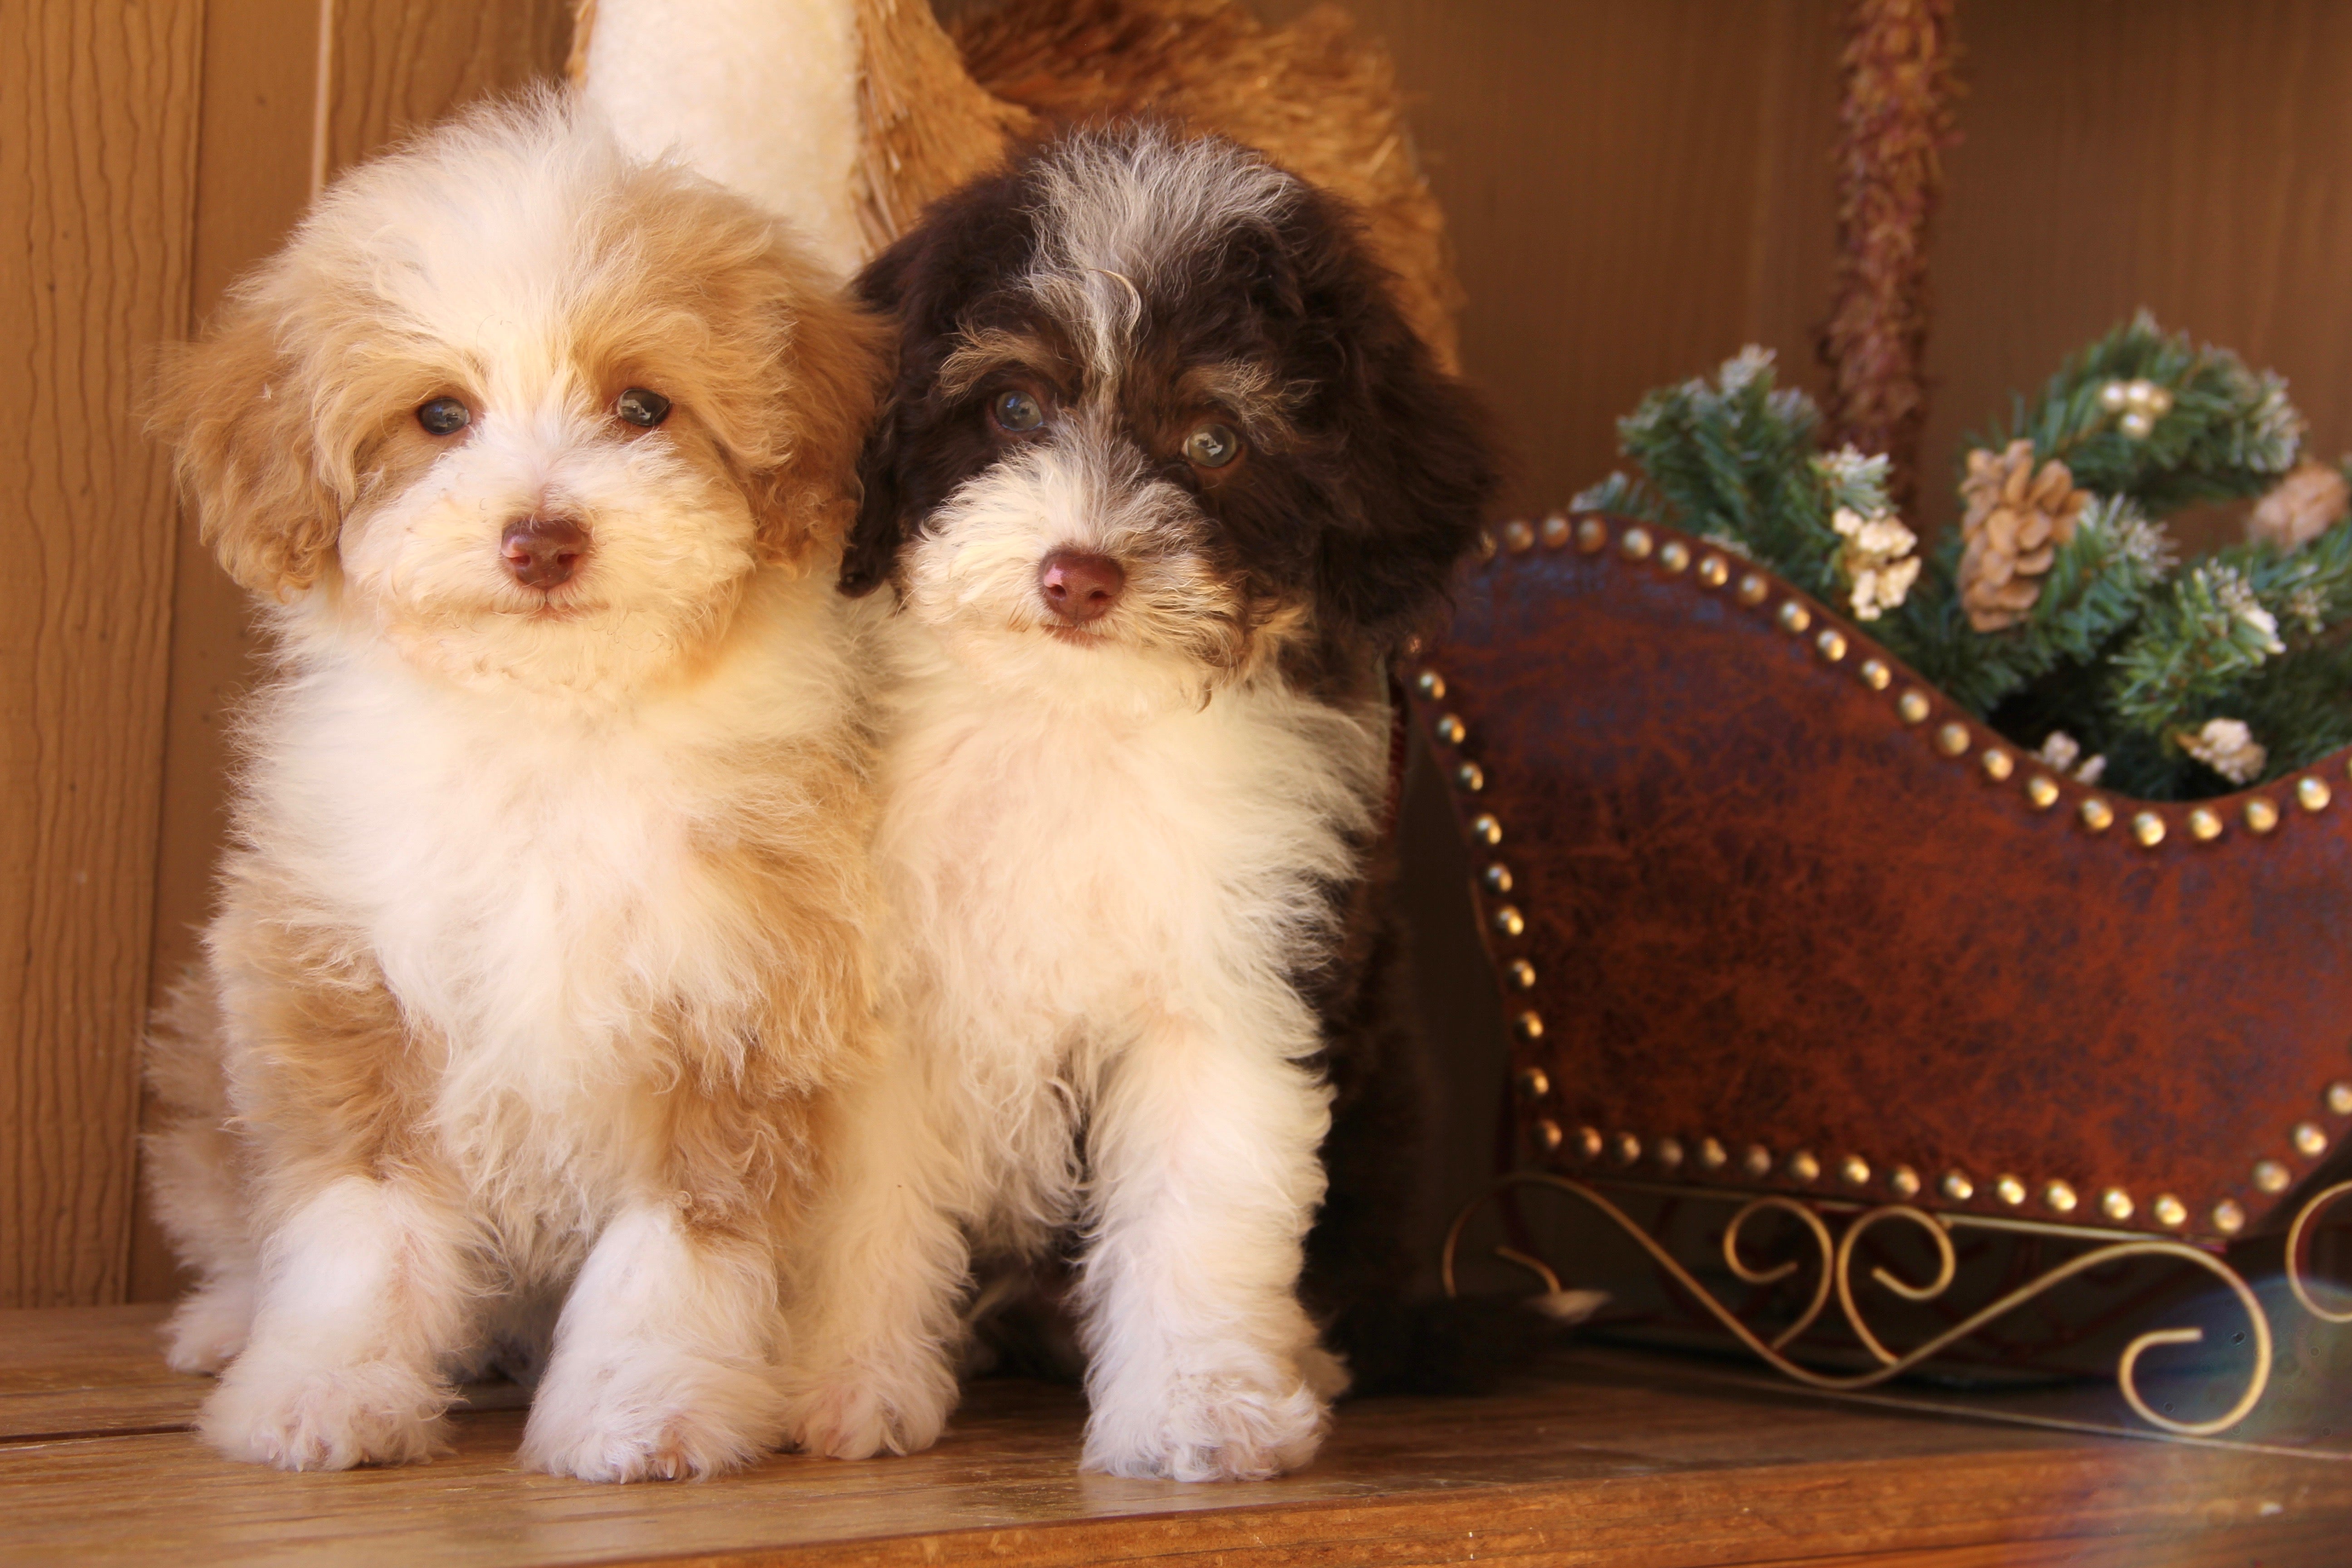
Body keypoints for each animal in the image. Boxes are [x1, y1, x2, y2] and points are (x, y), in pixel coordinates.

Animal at [144, 98, 884, 1485]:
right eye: (441, 415)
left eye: (642, 406)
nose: (542, 537)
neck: (554, 732)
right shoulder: (345, 974)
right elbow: (359, 1219)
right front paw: (324, 1390)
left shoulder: (741, 995)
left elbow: (678, 1242)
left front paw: (640, 1408)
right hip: (206, 1053)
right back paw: (225, 1322)